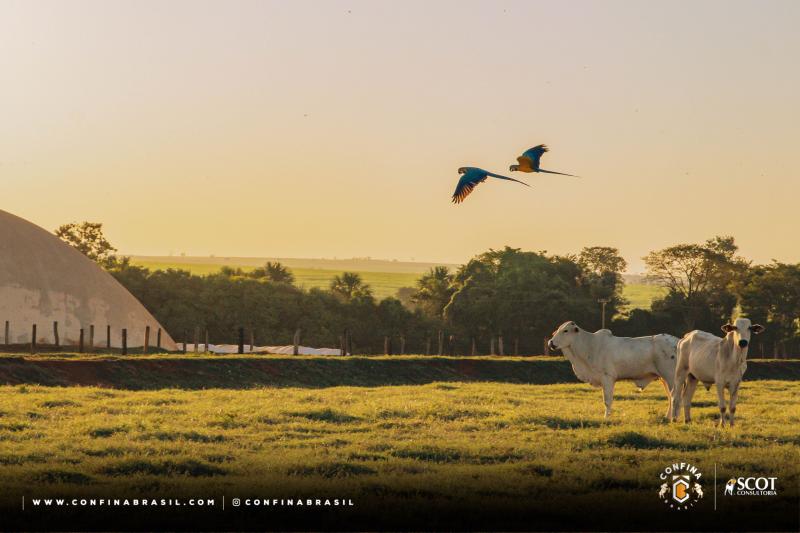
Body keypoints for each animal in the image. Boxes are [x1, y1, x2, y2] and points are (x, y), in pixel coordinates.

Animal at [548, 322, 680, 418]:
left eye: (565, 331)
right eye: (557, 330)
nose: (551, 343)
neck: (589, 346)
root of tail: (679, 342)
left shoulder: (607, 378)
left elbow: (607, 400)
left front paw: (606, 418)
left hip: (670, 377)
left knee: (675, 396)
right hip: (664, 379)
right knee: (670, 397)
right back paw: (667, 417)